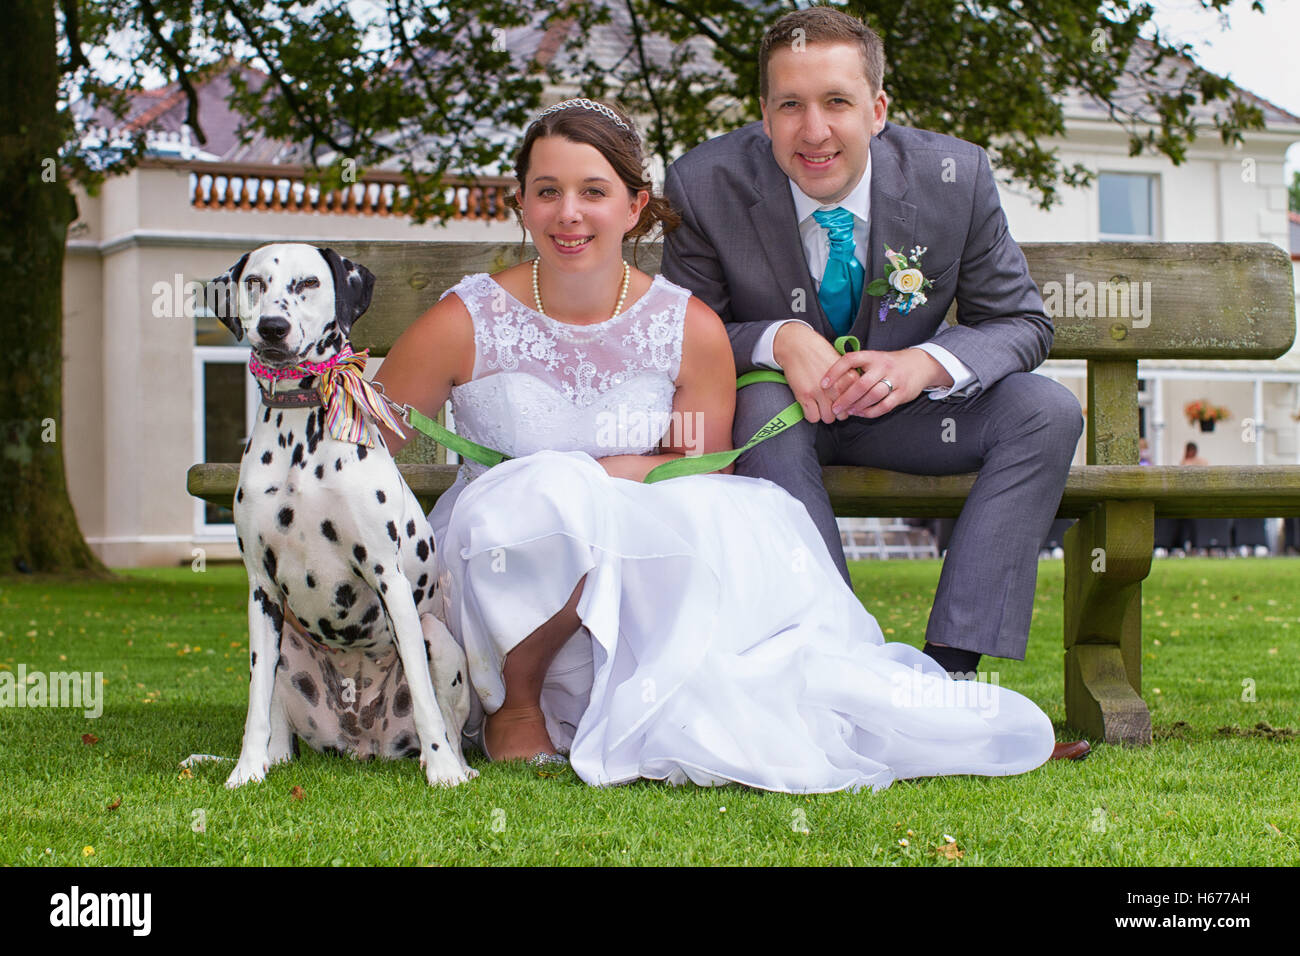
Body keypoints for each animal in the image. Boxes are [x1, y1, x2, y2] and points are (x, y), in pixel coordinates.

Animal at [208, 243, 478, 790]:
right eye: (254, 282)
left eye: (309, 282)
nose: (272, 327)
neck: (299, 433)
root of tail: (362, 741)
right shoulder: (260, 589)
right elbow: (255, 707)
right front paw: (245, 771)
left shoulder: (387, 575)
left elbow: (424, 697)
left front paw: (442, 769)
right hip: (286, 644)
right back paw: (274, 758)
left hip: (437, 638)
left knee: (446, 717)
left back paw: (453, 764)